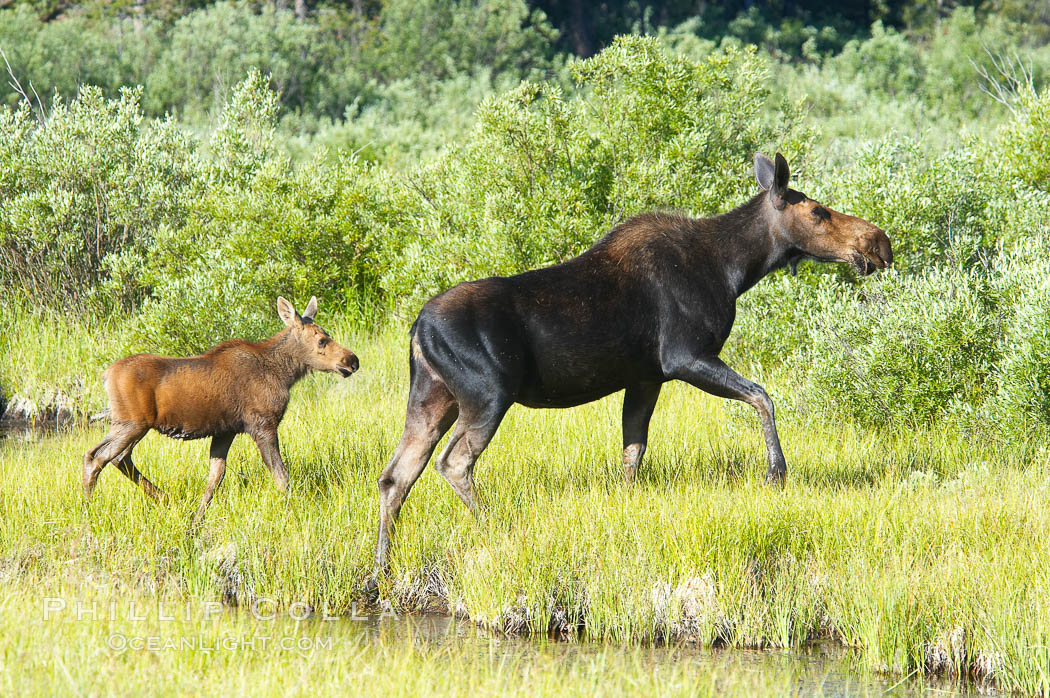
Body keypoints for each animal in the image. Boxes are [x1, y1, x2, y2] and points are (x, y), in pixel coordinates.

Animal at [373, 152, 890, 566]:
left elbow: (632, 450)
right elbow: (763, 397)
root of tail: (417, 329)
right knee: (453, 463)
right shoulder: (685, 357)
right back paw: (493, 524)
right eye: (818, 212)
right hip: (486, 395)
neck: (736, 269)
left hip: (432, 398)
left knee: (395, 476)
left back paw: (382, 564)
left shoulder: (646, 378)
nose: (879, 243)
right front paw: (775, 474)